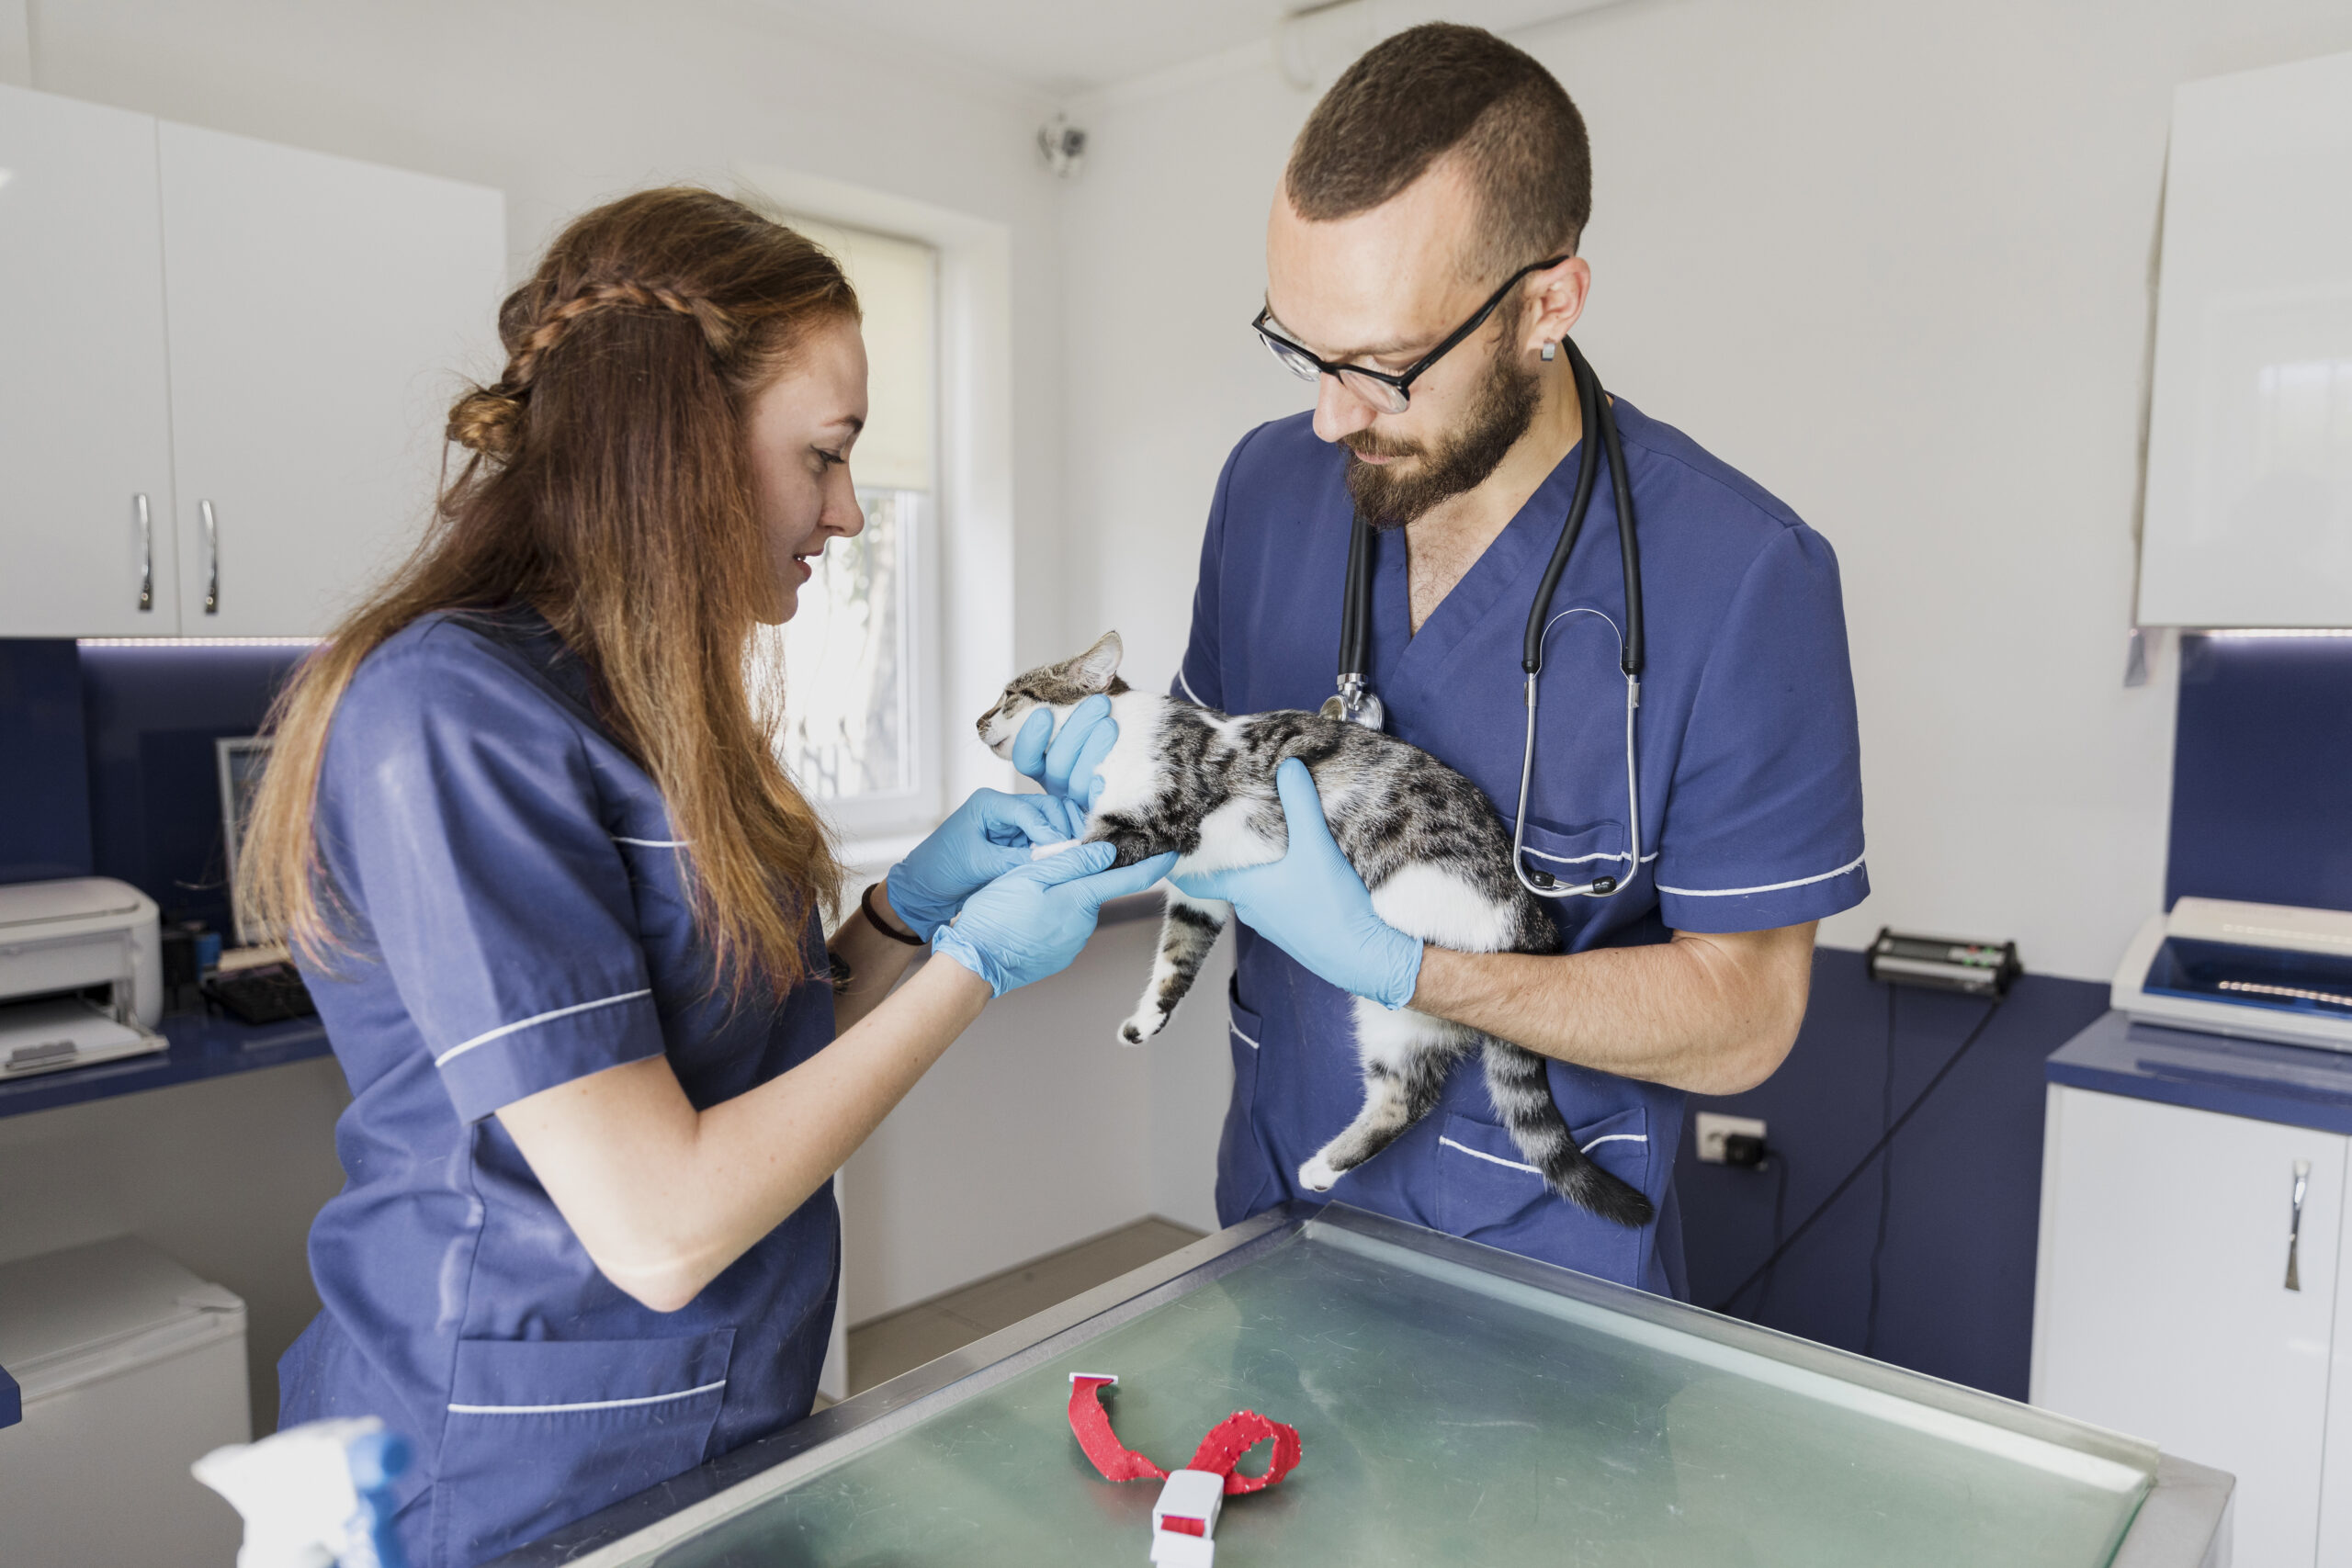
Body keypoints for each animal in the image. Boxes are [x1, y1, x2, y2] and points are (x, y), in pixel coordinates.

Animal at [973, 629, 1656, 1232]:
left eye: (1010, 695)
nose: (978, 719)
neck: (1119, 733)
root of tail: (1530, 925)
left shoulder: (1167, 821)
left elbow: (1099, 843)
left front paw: (1030, 857)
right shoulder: (1202, 896)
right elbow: (1176, 959)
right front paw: (1148, 1019)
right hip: (1403, 1020)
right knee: (1405, 1097)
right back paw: (1324, 1168)